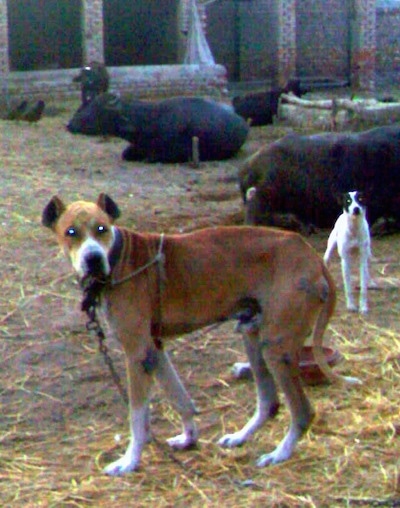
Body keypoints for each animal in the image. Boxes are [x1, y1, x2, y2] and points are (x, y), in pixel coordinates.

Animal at [42, 192, 358, 474]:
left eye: (102, 229)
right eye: (71, 232)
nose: (93, 258)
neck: (119, 258)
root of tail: (311, 255)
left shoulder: (137, 354)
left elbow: (138, 417)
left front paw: (129, 461)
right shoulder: (154, 350)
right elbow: (180, 399)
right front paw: (189, 438)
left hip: (275, 348)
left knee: (303, 411)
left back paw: (279, 454)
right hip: (253, 337)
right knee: (269, 402)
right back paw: (241, 437)